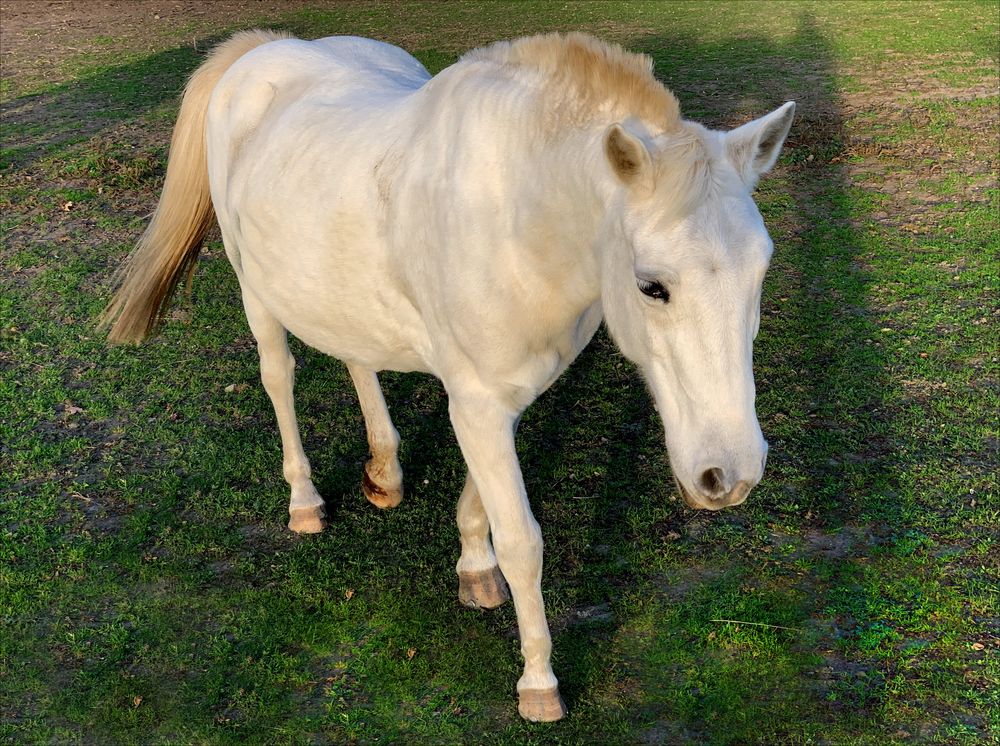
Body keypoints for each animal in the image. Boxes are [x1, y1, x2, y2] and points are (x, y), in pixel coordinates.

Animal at [103, 30, 796, 720]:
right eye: (652, 286)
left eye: (761, 271)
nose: (730, 475)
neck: (517, 217)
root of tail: (264, 50)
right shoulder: (479, 401)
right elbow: (522, 542)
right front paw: (538, 682)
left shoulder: (498, 396)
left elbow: (480, 497)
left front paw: (472, 566)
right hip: (256, 291)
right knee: (279, 377)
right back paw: (305, 502)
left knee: (358, 357)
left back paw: (384, 472)